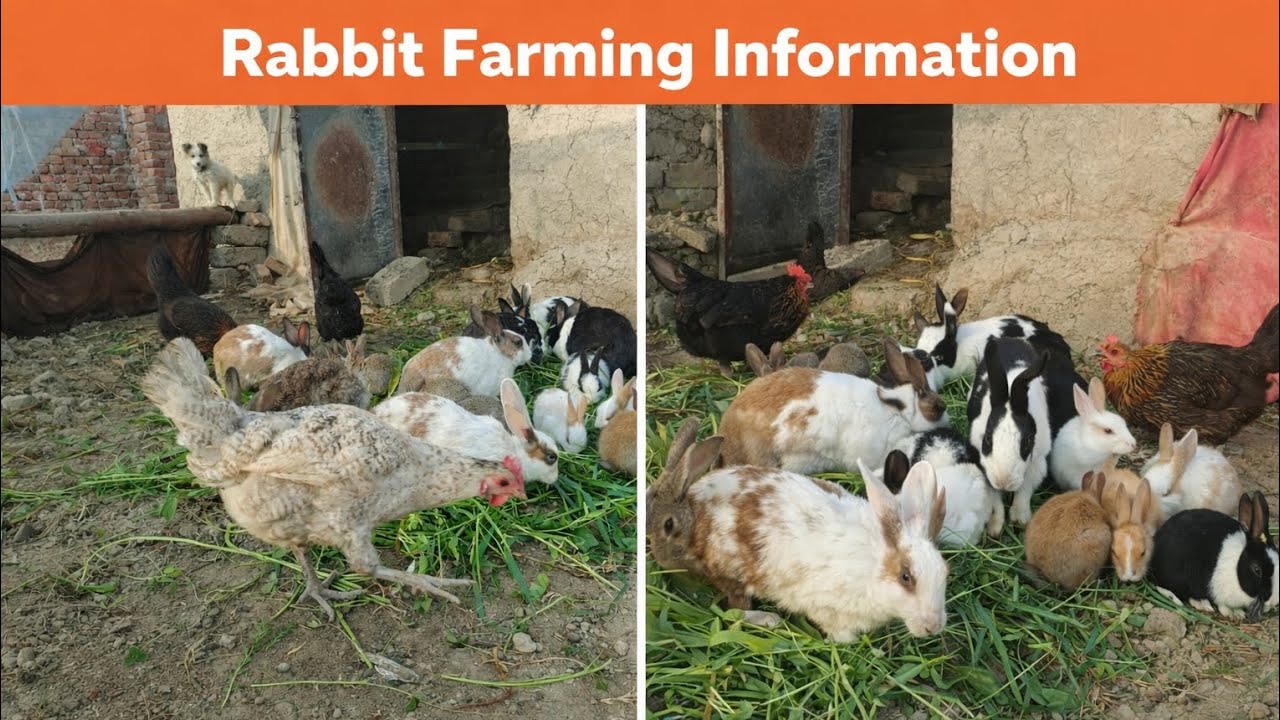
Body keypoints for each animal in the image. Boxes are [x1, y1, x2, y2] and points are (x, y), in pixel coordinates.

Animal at [651, 430, 950, 641]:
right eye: (906, 577)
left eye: (945, 571)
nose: (933, 626)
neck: (872, 566)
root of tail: (696, 501)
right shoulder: (827, 610)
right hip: (734, 574)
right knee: (734, 609)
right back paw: (769, 619)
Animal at [966, 338, 1053, 526]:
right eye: (987, 439)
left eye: (1027, 442)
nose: (1003, 481)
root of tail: (1011, 339)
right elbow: (993, 497)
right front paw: (995, 523)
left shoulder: (1038, 463)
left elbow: (1025, 488)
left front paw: (1019, 518)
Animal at [1153, 492, 1277, 622]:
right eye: (1257, 570)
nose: (1273, 601)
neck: (1237, 565)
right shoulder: (1220, 592)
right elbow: (1222, 605)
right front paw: (1233, 614)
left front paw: (1238, 613)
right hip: (1177, 578)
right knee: (1162, 587)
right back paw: (1195, 602)